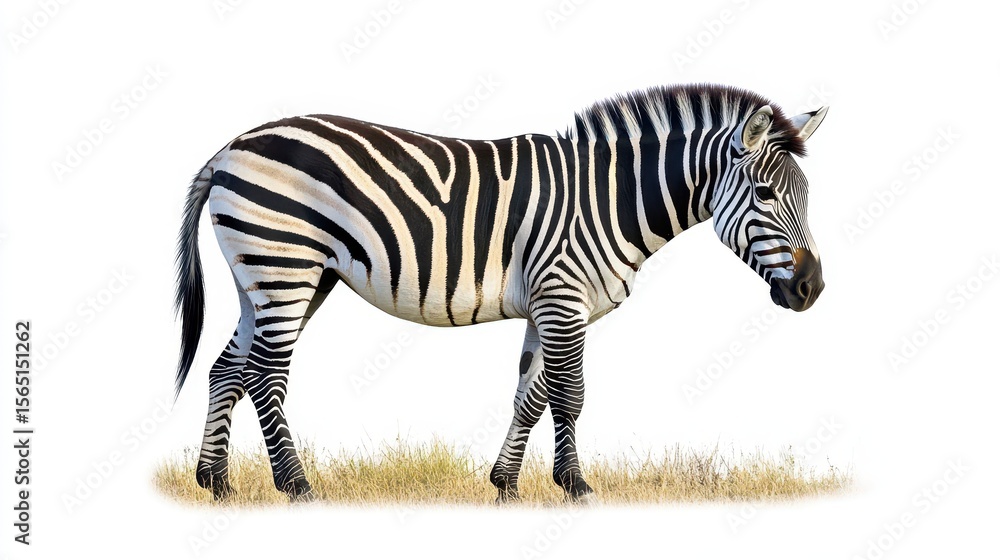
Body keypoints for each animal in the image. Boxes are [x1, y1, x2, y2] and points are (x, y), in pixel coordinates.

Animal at [174, 83, 827, 503]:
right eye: (766, 194)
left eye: (807, 195)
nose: (812, 288)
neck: (608, 201)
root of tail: (231, 146)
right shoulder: (562, 295)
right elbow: (570, 396)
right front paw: (575, 486)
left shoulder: (550, 303)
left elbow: (530, 394)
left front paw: (506, 485)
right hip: (285, 265)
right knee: (264, 375)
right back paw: (296, 485)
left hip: (271, 276)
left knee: (227, 368)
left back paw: (216, 482)